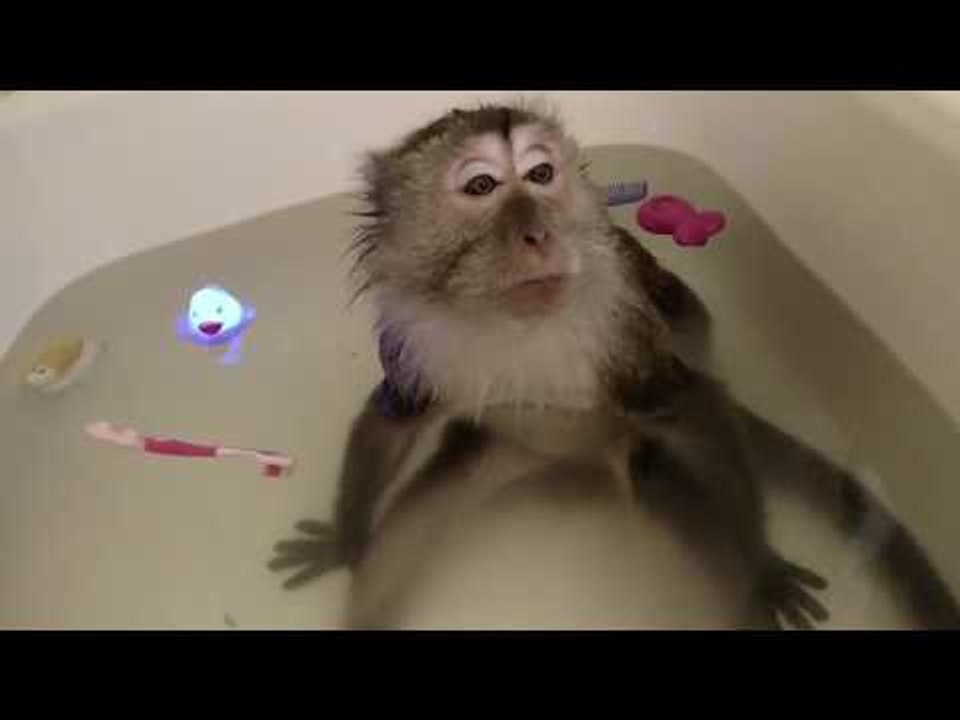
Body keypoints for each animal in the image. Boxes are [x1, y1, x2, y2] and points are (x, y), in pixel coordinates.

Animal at [269, 102, 959, 629]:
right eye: (483, 187)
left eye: (541, 174)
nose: (539, 233)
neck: (516, 324)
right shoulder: (411, 335)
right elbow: (392, 420)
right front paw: (343, 540)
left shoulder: (624, 333)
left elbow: (693, 408)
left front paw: (764, 562)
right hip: (502, 451)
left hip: (635, 454)